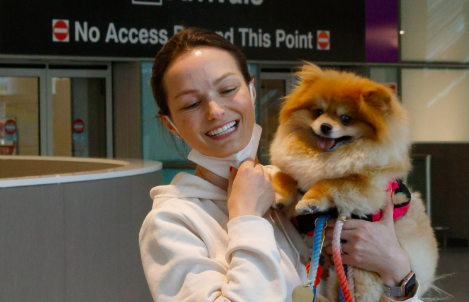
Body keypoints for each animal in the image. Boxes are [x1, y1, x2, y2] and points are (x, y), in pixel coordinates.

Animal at [266, 62, 438, 300]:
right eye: (318, 112)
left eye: (346, 118)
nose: (325, 126)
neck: (325, 157)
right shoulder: (299, 175)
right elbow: (287, 175)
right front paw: (280, 195)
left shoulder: (369, 189)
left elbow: (331, 182)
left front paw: (310, 201)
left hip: (361, 270)